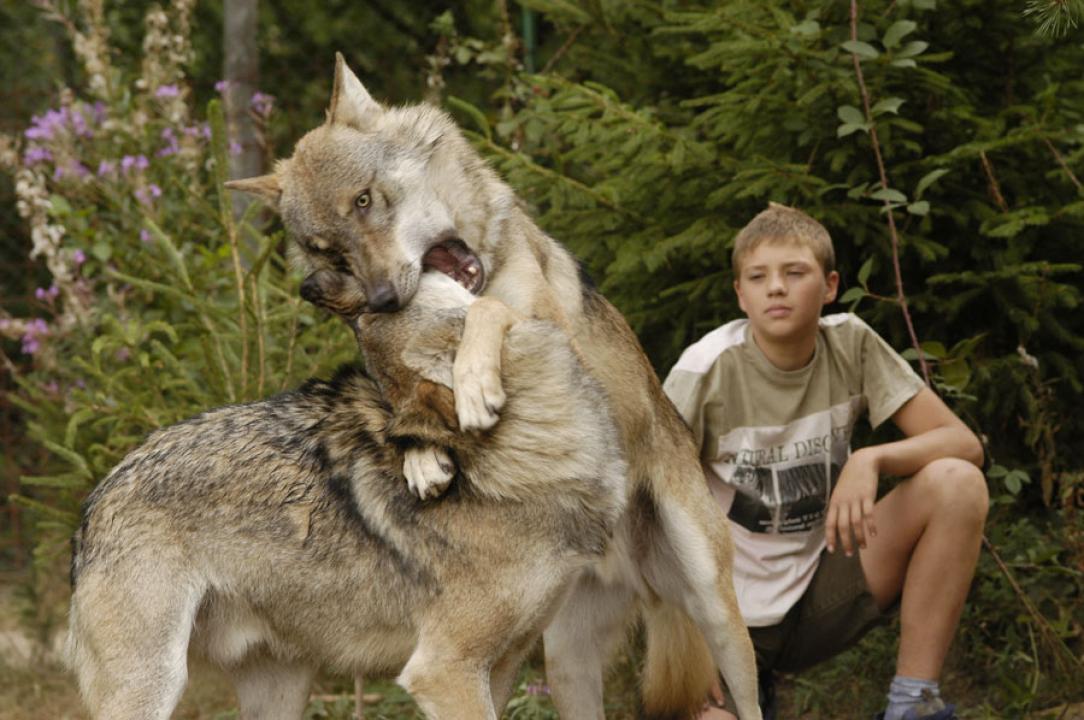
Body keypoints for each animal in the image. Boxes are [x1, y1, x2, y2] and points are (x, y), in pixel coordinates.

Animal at [65, 271, 628, 720]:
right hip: (152, 684)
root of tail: (95, 499)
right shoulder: (441, 670)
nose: (331, 285)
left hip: (281, 691)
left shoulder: (503, 664)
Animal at [224, 53, 758, 715]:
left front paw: (476, 386)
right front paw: (423, 458)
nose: (380, 297)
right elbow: (404, 398)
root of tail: (629, 568)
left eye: (365, 200)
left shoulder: (546, 327)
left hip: (714, 607)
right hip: (565, 657)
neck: (484, 264)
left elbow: (488, 314)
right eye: (330, 251)